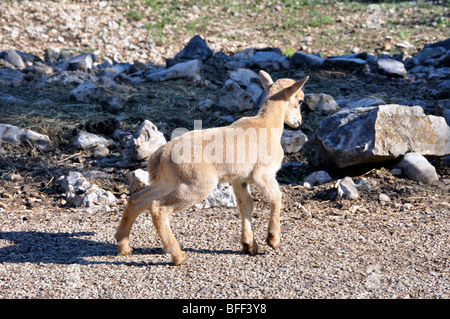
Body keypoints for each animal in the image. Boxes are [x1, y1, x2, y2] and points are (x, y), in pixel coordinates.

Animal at [114, 71, 308, 266]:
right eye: (300, 101)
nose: (298, 122)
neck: (267, 125)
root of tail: (160, 156)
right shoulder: (264, 174)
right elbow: (276, 197)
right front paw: (273, 240)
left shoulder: (240, 179)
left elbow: (246, 205)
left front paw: (249, 246)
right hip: (197, 185)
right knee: (158, 208)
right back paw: (178, 256)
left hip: (167, 182)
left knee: (137, 200)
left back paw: (124, 247)